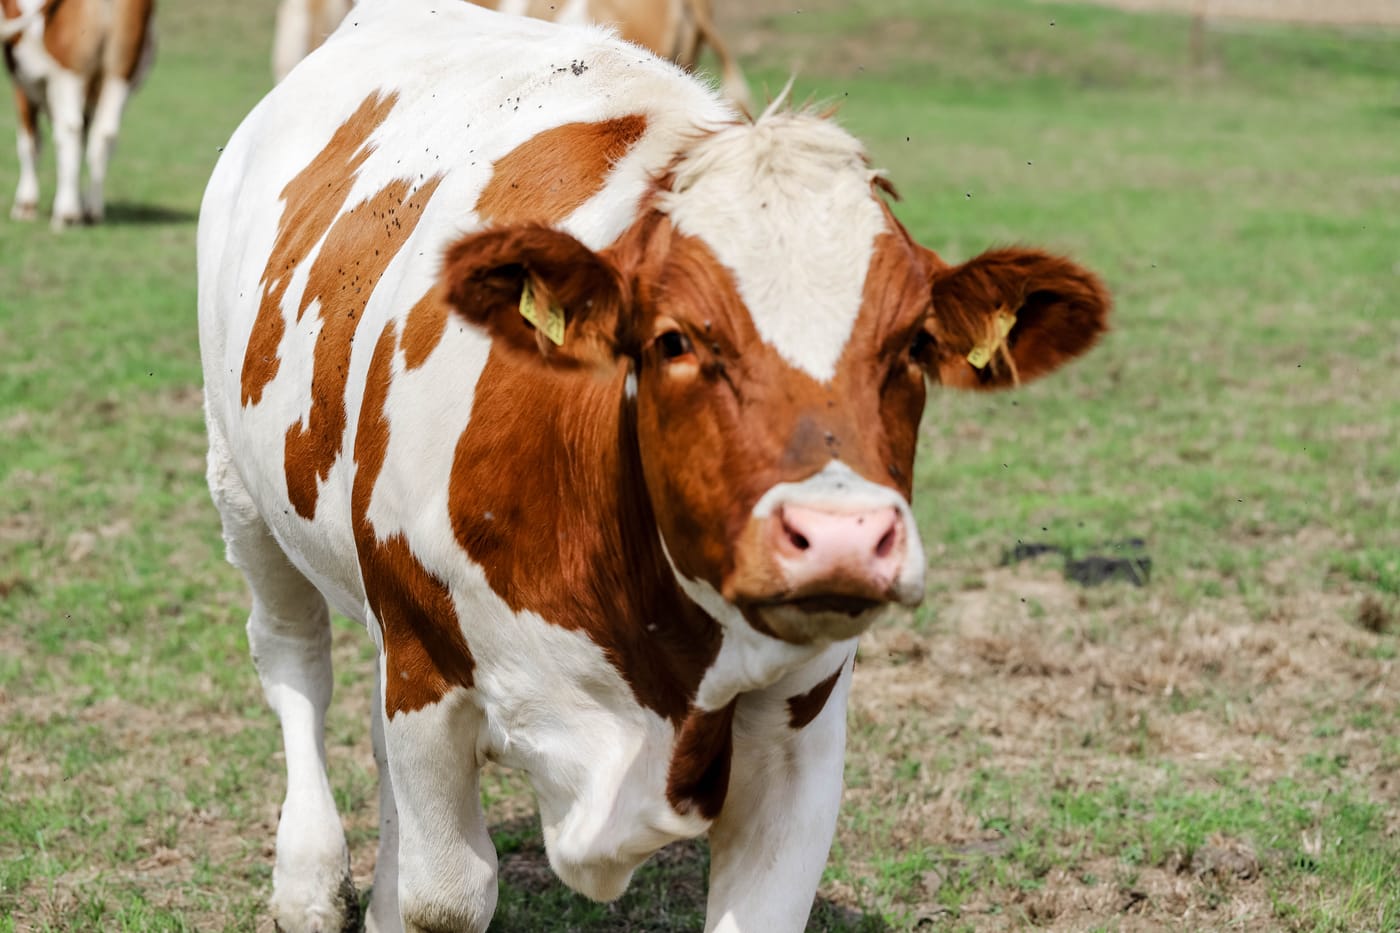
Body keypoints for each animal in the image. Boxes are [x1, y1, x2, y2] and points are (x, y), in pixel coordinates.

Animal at [2, 0, 155, 228]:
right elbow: (84, 144)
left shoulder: (22, 86)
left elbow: (30, 143)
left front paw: (25, 205)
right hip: (120, 75)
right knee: (105, 134)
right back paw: (92, 210)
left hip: (70, 72)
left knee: (69, 130)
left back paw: (65, 212)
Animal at [198, 2, 1110, 931]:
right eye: (675, 340)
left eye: (913, 346)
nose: (844, 537)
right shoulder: (425, 666)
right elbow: (445, 897)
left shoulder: (800, 732)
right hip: (240, 487)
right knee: (294, 659)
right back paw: (309, 879)